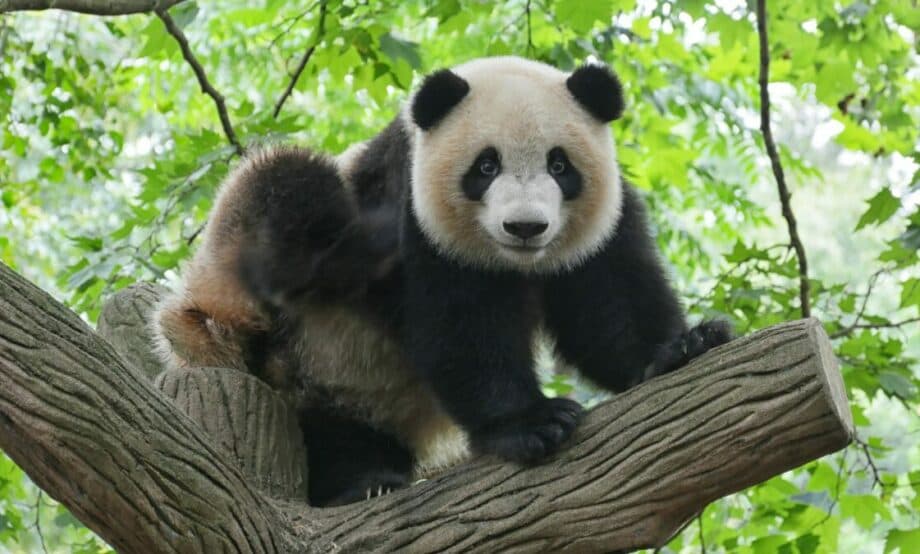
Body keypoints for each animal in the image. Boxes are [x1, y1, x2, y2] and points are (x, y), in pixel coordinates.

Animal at [152, 56, 732, 508]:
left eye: (560, 165)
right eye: (486, 166)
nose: (525, 227)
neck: (516, 263)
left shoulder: (599, 227)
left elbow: (608, 306)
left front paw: (682, 346)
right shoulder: (419, 217)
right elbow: (461, 328)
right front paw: (533, 422)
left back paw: (368, 474)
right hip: (258, 308)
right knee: (286, 185)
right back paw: (360, 484)